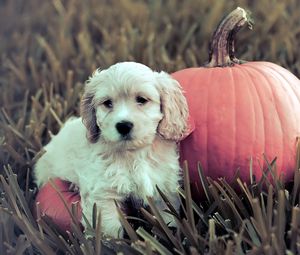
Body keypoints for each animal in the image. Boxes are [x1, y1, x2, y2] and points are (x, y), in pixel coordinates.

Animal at [34, 61, 189, 237]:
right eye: (108, 103)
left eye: (142, 100)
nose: (123, 125)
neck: (133, 154)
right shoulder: (103, 193)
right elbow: (109, 227)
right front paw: (110, 242)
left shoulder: (163, 186)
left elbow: (167, 215)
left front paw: (172, 233)